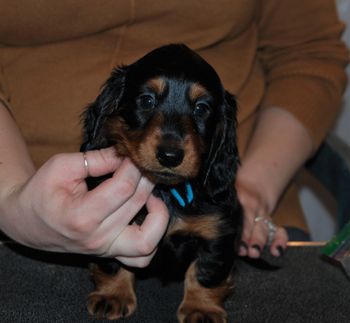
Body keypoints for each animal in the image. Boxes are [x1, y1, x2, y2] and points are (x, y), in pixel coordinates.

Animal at [80, 43, 242, 323]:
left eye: (201, 108)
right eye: (147, 100)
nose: (170, 155)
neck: (167, 191)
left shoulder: (217, 234)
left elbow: (206, 272)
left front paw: (202, 308)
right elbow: (113, 261)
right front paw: (113, 294)